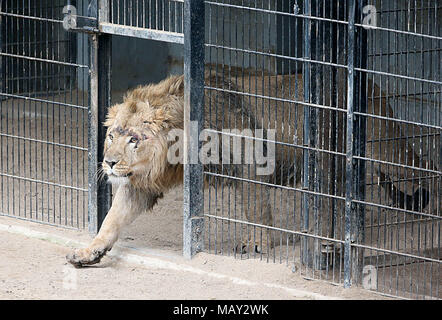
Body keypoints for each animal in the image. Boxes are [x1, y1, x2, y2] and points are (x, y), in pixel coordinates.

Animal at [67, 72, 430, 268]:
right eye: (112, 135)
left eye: (134, 139)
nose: (109, 162)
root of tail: (371, 84)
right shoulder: (143, 183)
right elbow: (112, 219)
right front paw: (89, 250)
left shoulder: (252, 163)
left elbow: (256, 209)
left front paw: (256, 244)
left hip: (385, 149)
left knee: (422, 168)